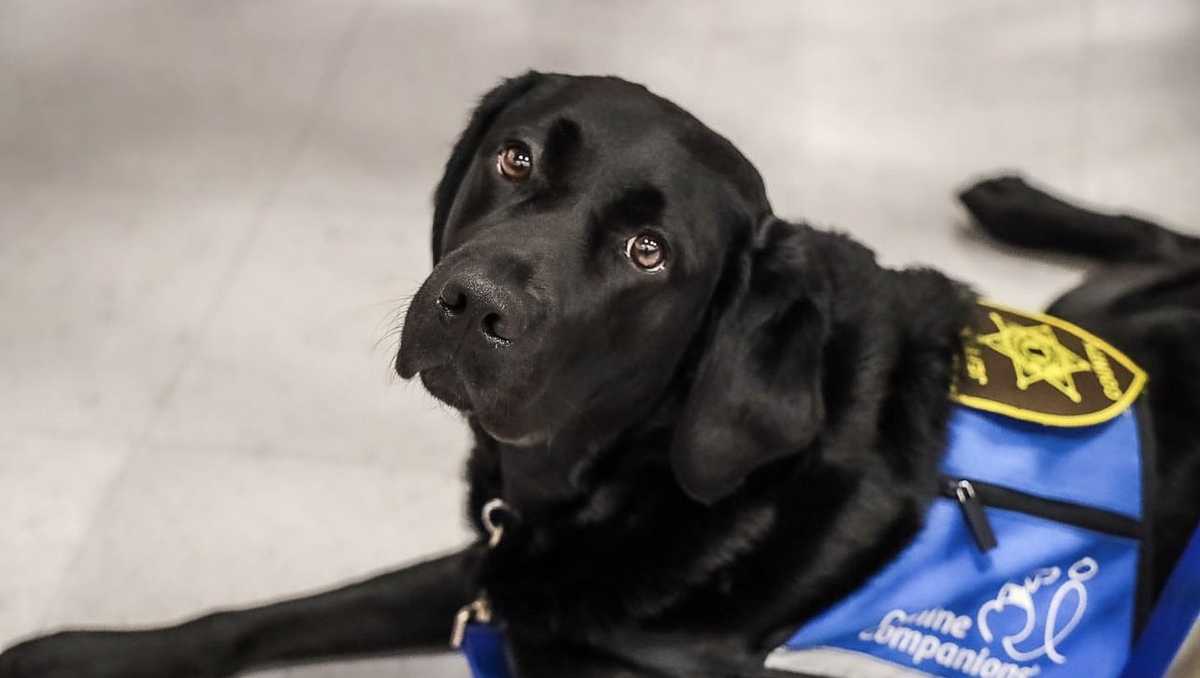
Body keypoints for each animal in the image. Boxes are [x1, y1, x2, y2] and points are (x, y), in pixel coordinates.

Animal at [2, 72, 1200, 676]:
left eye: (648, 251)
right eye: (516, 157)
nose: (471, 304)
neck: (618, 478)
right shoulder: (499, 570)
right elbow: (263, 618)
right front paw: (73, 650)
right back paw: (1014, 201)